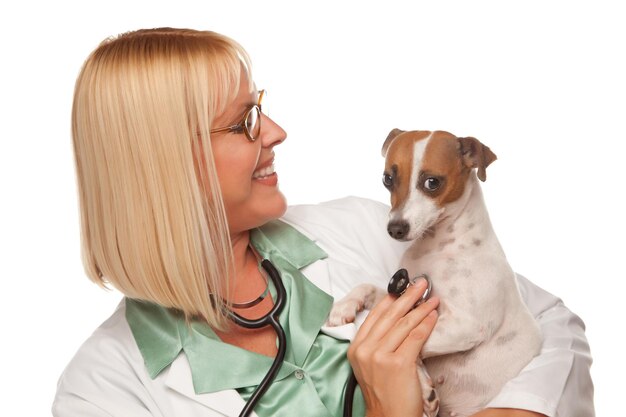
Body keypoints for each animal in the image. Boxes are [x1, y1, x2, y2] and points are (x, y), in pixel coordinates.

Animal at [330, 129, 540, 416]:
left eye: (432, 182)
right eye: (387, 179)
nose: (395, 228)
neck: (439, 247)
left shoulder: (466, 325)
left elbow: (415, 345)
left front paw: (423, 386)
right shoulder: (403, 294)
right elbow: (367, 287)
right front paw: (343, 306)